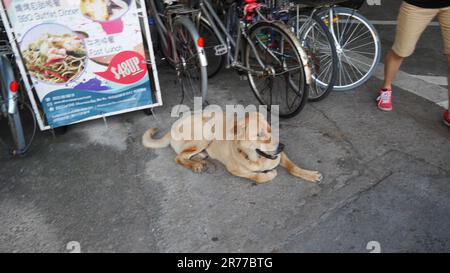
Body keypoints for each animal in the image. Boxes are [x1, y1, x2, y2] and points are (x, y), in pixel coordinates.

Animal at [142, 111, 322, 184]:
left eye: (270, 130)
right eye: (259, 134)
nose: (282, 146)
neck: (256, 158)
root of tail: (173, 124)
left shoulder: (279, 156)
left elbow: (293, 167)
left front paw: (309, 174)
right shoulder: (233, 168)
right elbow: (255, 177)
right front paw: (268, 175)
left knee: (185, 154)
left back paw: (201, 160)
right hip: (204, 134)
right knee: (179, 157)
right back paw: (196, 165)